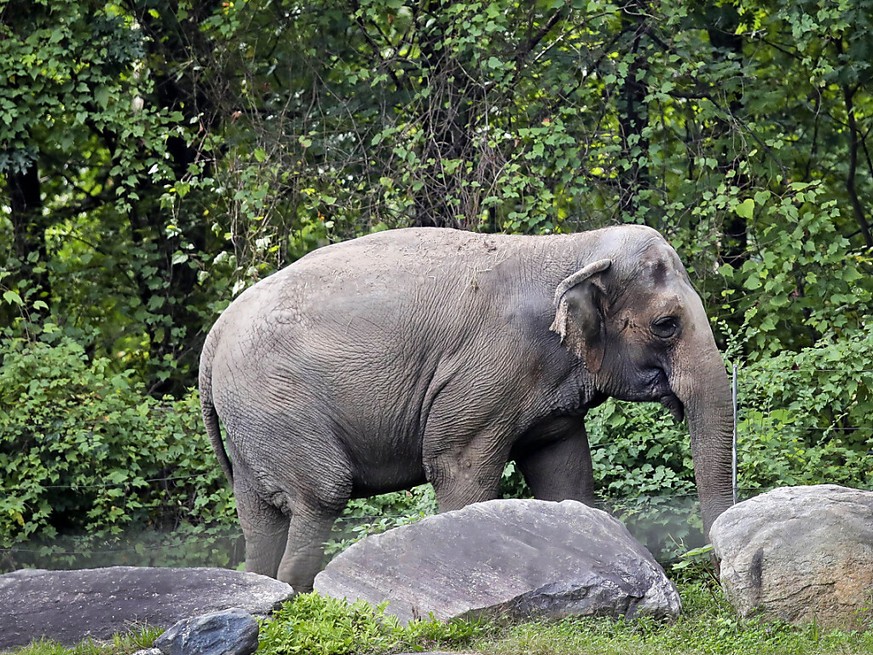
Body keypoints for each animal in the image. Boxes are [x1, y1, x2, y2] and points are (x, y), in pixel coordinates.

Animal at [199, 223, 736, 592]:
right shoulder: (486, 372)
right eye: (666, 325)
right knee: (321, 496)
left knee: (259, 517)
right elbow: (459, 469)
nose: (715, 572)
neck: (571, 248)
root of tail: (215, 335)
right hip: (278, 404)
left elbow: (564, 473)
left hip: (252, 422)